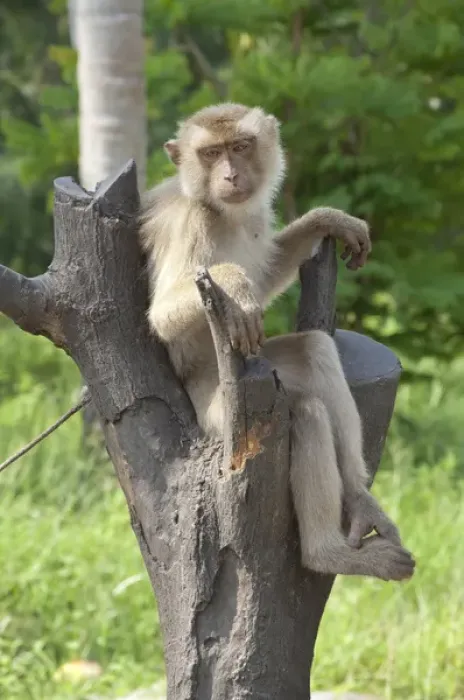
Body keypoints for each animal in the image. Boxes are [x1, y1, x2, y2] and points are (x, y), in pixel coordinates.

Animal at [139, 103, 415, 582]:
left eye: (240, 146)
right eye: (210, 153)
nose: (230, 175)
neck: (221, 211)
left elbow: (267, 276)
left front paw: (327, 219)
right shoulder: (193, 222)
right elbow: (163, 317)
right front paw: (235, 284)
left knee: (314, 350)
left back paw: (357, 497)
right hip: (219, 412)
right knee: (305, 411)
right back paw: (326, 554)